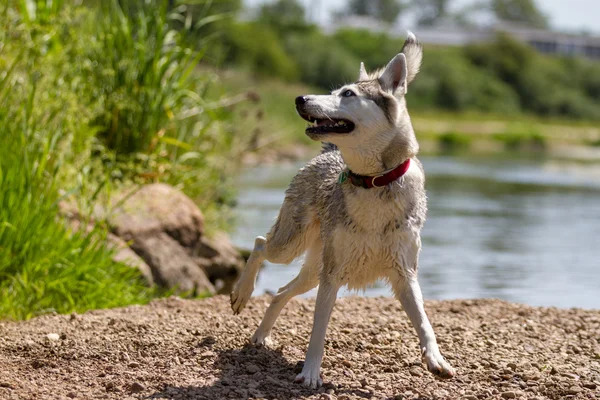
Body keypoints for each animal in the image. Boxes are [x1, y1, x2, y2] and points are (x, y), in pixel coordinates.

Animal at [230, 32, 454, 390]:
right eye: (335, 91)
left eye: (348, 94)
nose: (300, 98)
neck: (374, 182)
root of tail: (328, 153)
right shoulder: (332, 276)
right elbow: (317, 332)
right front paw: (310, 373)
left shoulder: (405, 275)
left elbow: (424, 323)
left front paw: (436, 360)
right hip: (292, 248)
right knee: (260, 243)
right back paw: (241, 293)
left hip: (312, 272)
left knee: (280, 292)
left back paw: (261, 336)